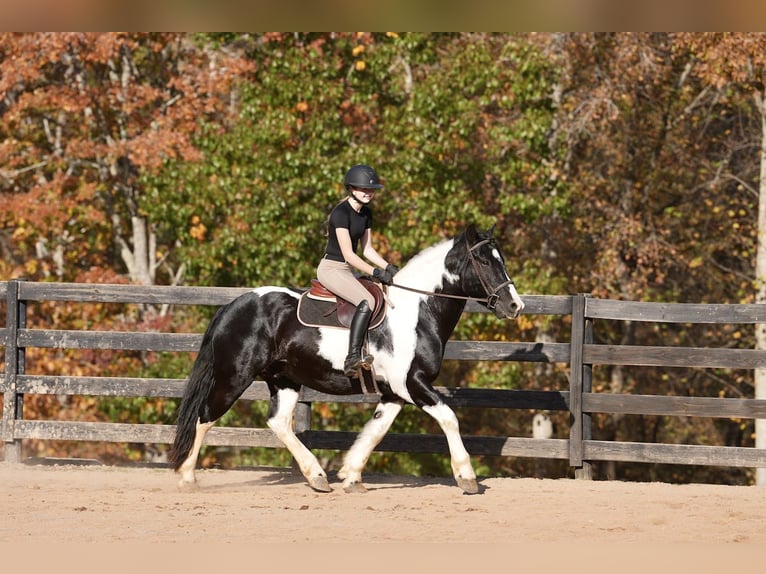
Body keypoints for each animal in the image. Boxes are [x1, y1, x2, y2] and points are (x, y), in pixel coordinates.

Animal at [169, 224, 525, 494]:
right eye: (484, 260)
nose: (514, 306)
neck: (416, 312)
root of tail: (232, 306)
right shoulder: (412, 383)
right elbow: (450, 418)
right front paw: (467, 477)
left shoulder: (394, 392)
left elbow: (376, 430)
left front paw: (351, 475)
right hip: (234, 377)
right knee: (204, 417)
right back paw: (187, 478)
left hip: (284, 379)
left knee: (279, 422)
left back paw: (317, 476)